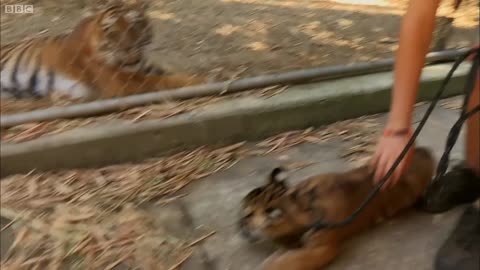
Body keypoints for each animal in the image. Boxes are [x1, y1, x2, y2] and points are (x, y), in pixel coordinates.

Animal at [0, 0, 204, 100]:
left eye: (134, 25)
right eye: (112, 31)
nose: (128, 48)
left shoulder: (143, 66)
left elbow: (166, 72)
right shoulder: (120, 80)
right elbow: (163, 80)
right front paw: (200, 81)